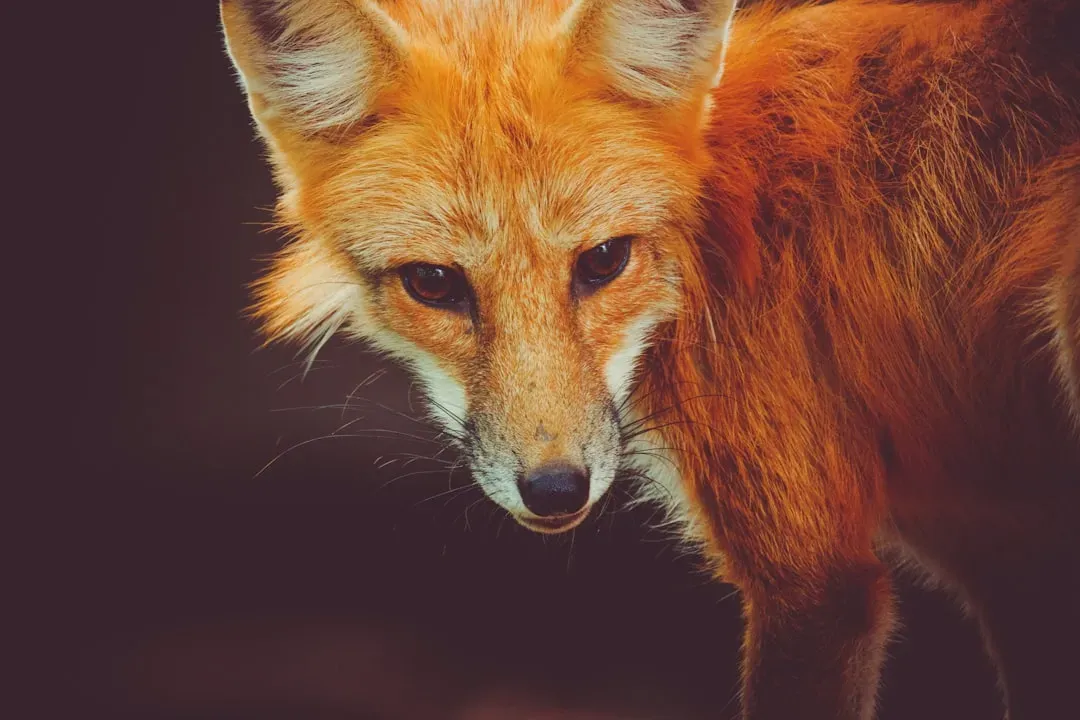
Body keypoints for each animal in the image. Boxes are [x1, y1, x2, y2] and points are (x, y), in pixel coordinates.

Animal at [219, 0, 1080, 718]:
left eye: (604, 261)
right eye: (433, 283)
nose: (556, 490)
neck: (719, 238)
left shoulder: (815, 581)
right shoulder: (1010, 545)